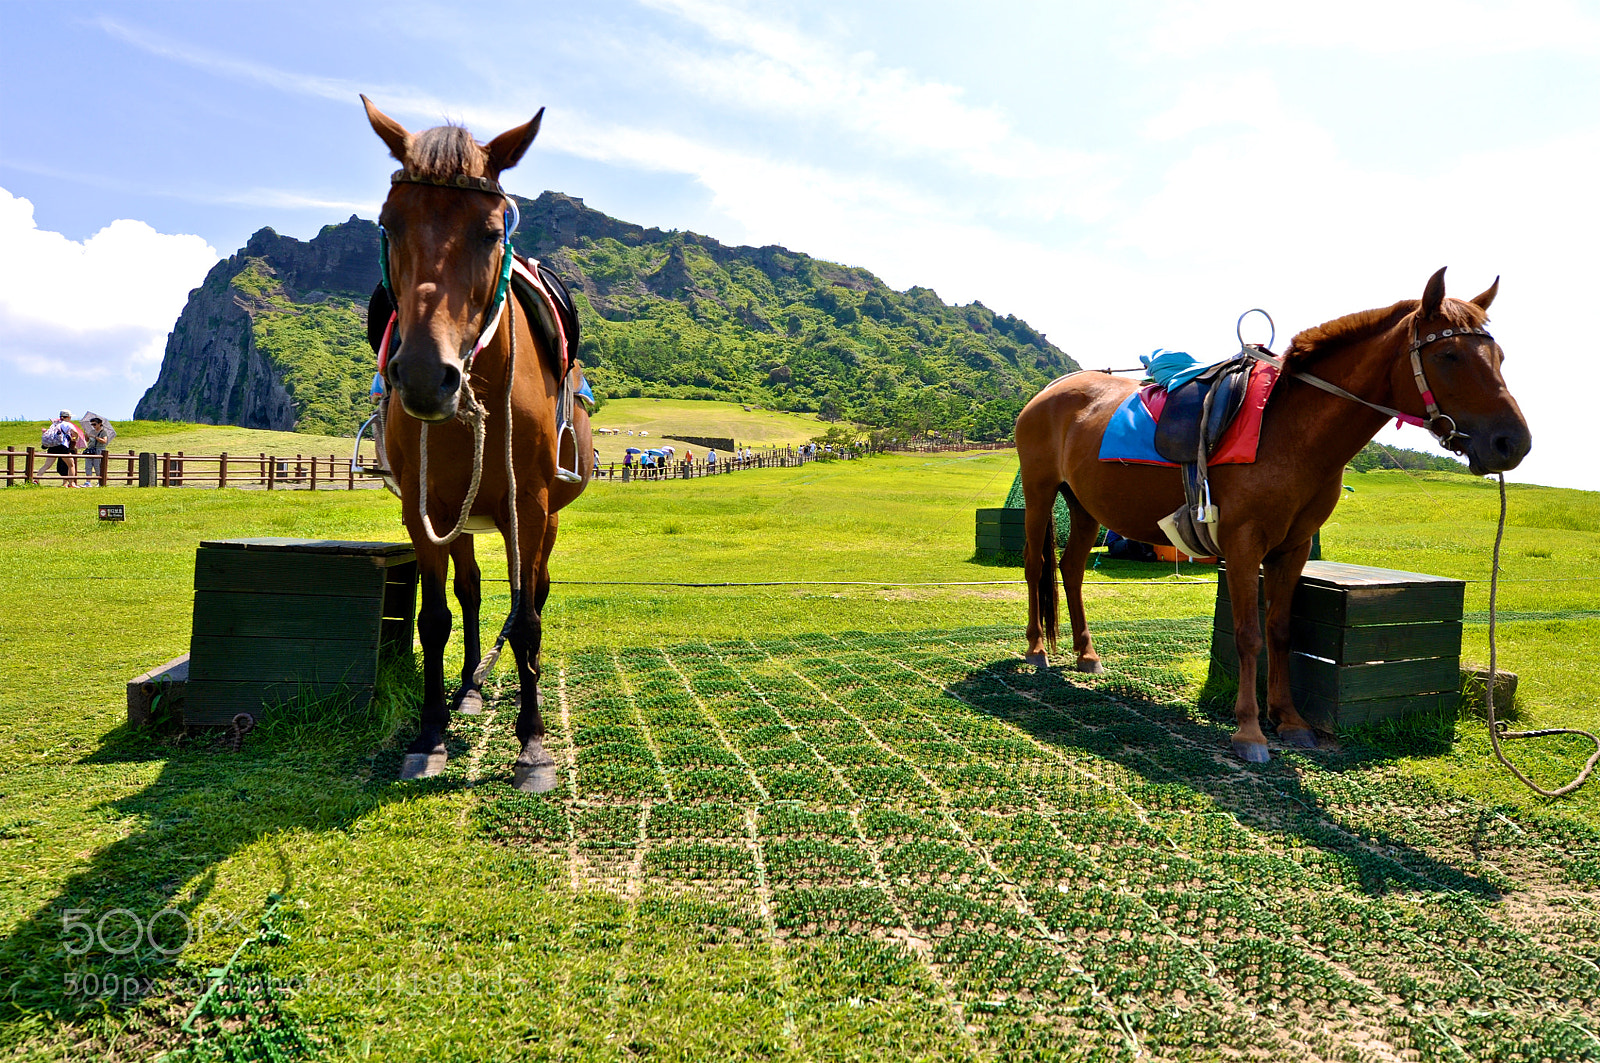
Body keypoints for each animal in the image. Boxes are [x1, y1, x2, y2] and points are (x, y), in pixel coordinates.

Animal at [362, 96, 594, 790]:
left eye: (491, 232)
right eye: (389, 226)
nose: (422, 374)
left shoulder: (530, 508)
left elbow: (527, 618)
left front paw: (533, 745)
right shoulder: (424, 510)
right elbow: (435, 616)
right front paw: (431, 732)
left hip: (540, 518)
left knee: (533, 593)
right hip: (460, 516)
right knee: (468, 591)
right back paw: (467, 687)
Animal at [1015, 269, 1530, 763]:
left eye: (1500, 357)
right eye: (1450, 356)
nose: (1513, 443)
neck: (1290, 431)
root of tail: (1052, 389)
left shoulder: (1293, 547)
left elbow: (1280, 632)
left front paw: (1290, 720)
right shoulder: (1243, 545)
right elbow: (1248, 636)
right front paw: (1249, 730)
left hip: (1084, 506)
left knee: (1071, 569)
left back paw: (1086, 653)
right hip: (1040, 494)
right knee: (1036, 566)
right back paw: (1037, 648)